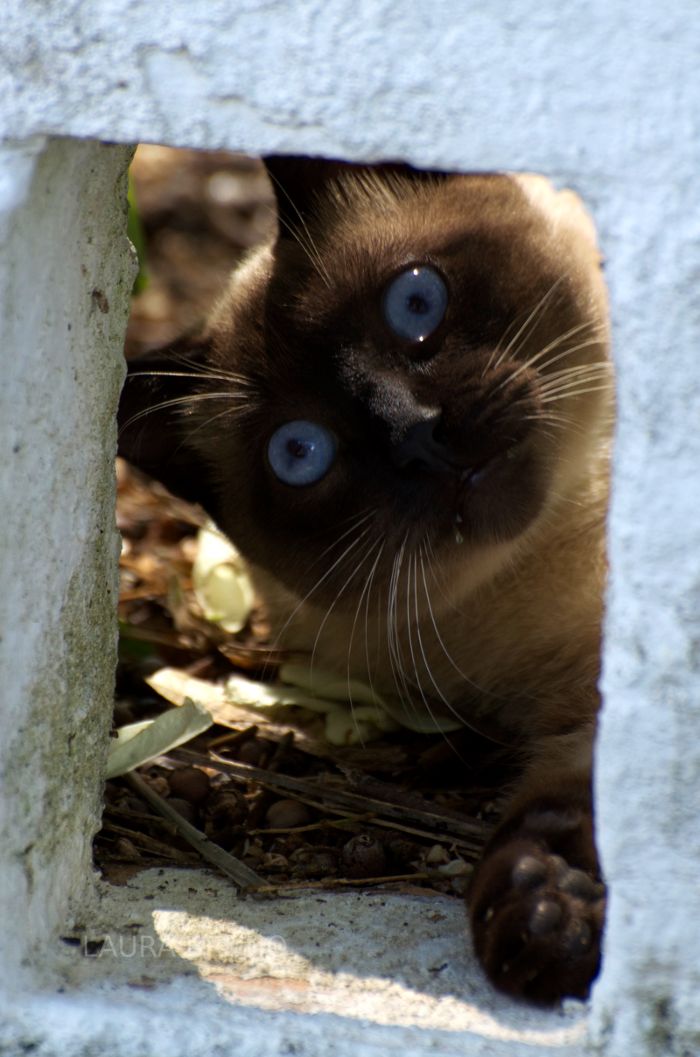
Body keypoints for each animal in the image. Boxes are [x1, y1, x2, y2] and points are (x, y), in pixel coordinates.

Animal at [119, 154, 613, 997]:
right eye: (299, 451)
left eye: (415, 301)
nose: (421, 437)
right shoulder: (582, 711)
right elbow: (569, 807)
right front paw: (547, 914)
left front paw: (552, 915)